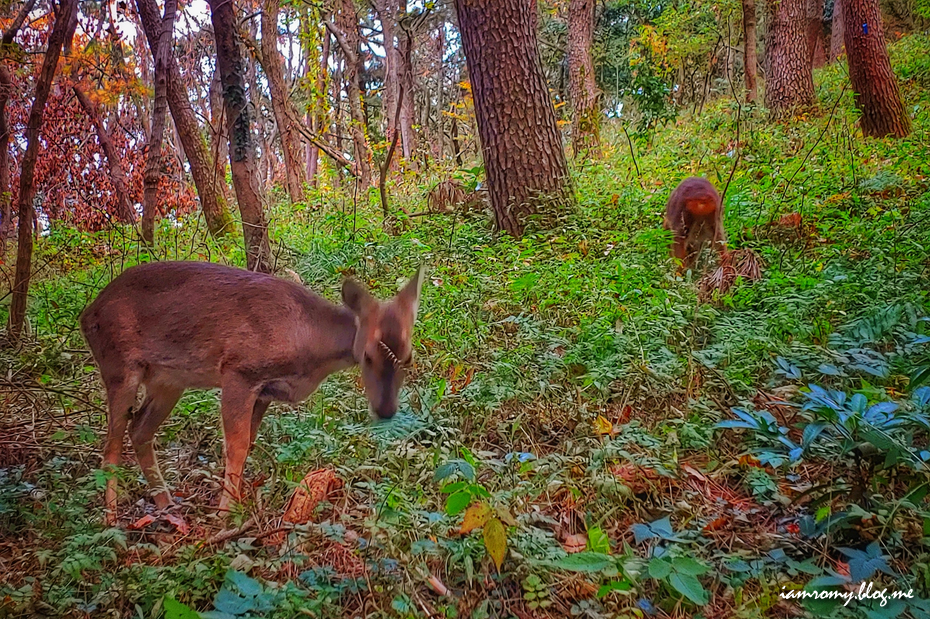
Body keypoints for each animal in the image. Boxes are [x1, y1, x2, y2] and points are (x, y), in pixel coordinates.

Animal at [81, 262, 422, 524]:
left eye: (408, 358)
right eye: (367, 356)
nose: (386, 409)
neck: (308, 344)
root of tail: (87, 314)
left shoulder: (265, 392)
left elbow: (249, 443)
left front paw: (240, 505)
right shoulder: (239, 371)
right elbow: (236, 446)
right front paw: (224, 517)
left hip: (168, 381)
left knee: (139, 430)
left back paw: (168, 506)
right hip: (119, 365)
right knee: (111, 446)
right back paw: (111, 522)